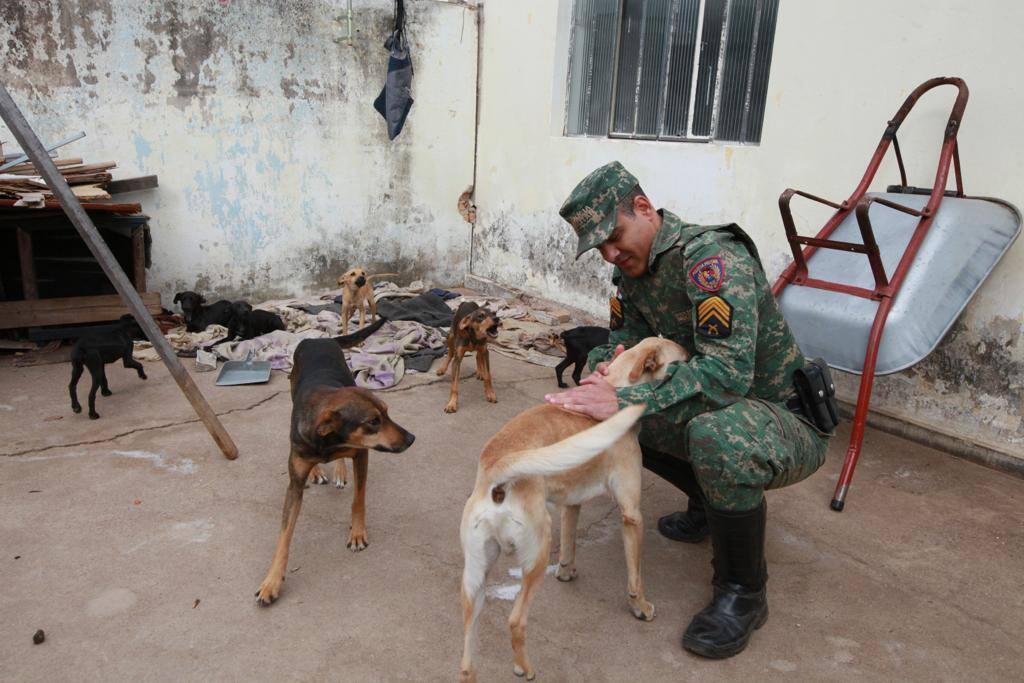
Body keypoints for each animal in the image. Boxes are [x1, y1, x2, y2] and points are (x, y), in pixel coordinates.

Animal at [456, 337, 688, 683]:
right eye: (681, 359)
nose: (693, 357)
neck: (616, 384)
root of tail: (496, 468)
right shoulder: (632, 514)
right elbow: (635, 577)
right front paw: (641, 607)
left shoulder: (571, 504)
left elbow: (569, 545)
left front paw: (566, 572)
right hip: (536, 557)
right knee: (516, 621)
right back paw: (524, 668)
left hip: (475, 578)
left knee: (467, 658)